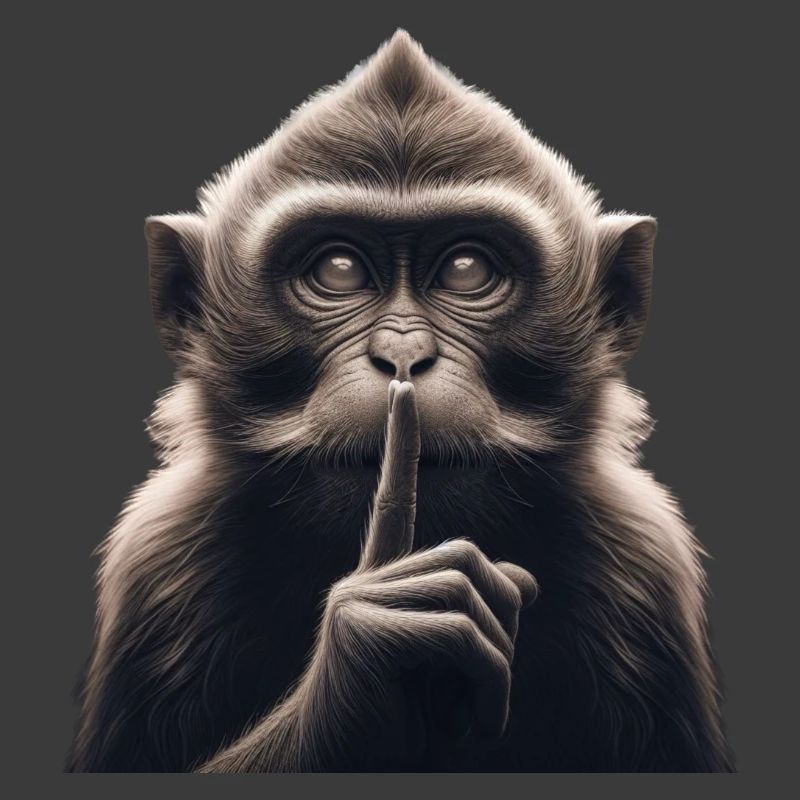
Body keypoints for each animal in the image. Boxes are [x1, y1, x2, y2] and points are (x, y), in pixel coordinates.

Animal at [66, 30, 733, 772]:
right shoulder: (158, 563)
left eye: (467, 269)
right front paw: (371, 653)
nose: (403, 354)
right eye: (338, 269)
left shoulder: (645, 567)